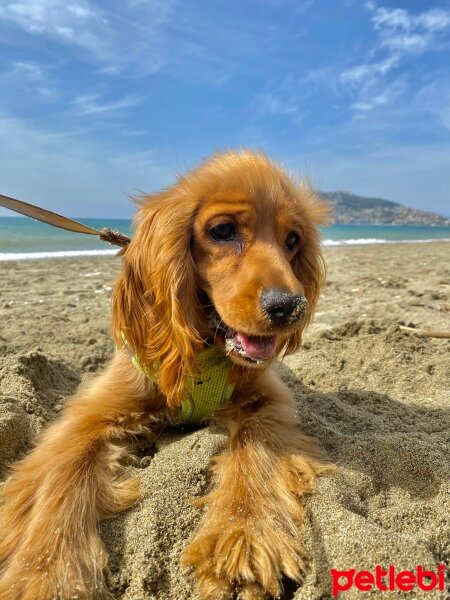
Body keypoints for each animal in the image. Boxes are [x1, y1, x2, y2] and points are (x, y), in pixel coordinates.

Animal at [0, 149, 330, 596]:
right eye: (223, 230)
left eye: (292, 240)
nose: (289, 308)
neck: (205, 351)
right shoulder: (88, 415)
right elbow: (63, 477)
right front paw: (45, 573)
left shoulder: (268, 402)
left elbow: (254, 451)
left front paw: (243, 534)